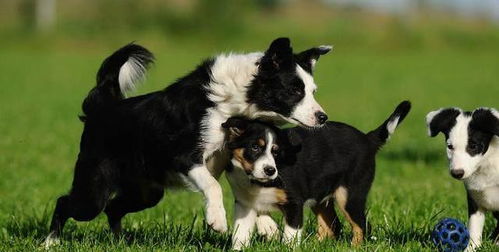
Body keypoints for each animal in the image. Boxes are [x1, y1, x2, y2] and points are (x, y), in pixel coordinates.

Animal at [43, 38, 332, 247]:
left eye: (312, 91)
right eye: (294, 90)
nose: (322, 117)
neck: (234, 100)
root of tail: (102, 108)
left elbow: (253, 192)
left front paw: (267, 226)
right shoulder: (184, 156)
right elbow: (213, 185)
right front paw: (217, 221)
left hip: (146, 193)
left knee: (114, 208)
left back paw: (119, 242)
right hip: (94, 190)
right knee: (66, 203)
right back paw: (50, 242)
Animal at [223, 101, 410, 250]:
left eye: (276, 151)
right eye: (255, 147)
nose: (270, 170)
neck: (257, 181)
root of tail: (367, 139)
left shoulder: (294, 203)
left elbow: (290, 235)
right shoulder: (244, 204)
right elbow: (240, 234)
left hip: (349, 195)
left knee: (362, 226)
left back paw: (354, 247)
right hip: (320, 196)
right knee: (332, 227)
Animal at [426, 105, 499, 251]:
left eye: (473, 146)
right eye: (450, 147)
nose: (457, 173)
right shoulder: (474, 199)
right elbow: (474, 228)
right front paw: (471, 248)